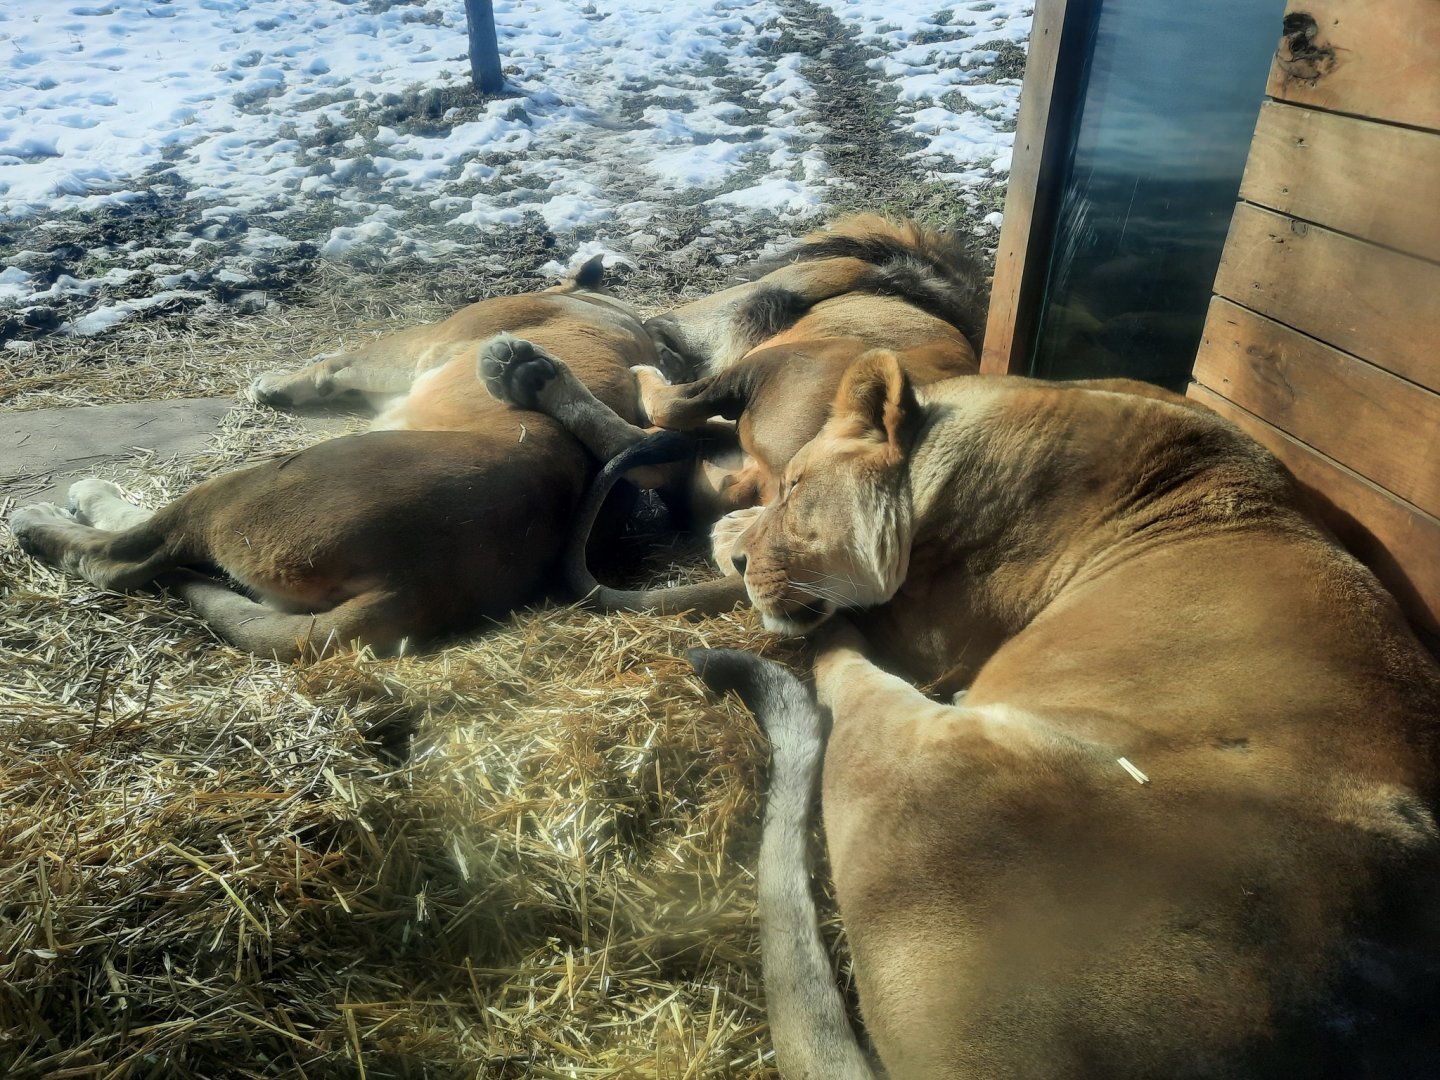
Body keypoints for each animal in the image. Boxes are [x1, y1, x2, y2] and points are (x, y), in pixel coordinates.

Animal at [7, 260, 671, 660]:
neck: (602, 305)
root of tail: (416, 583)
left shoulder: (421, 342)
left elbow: (339, 361)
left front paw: (273, 384)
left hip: (255, 484)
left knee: (125, 557)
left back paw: (48, 513)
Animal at [692, 351, 1440, 1078]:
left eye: (795, 489)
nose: (744, 560)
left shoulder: (931, 635)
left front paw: (733, 539)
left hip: (927, 776)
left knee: (839, 667)